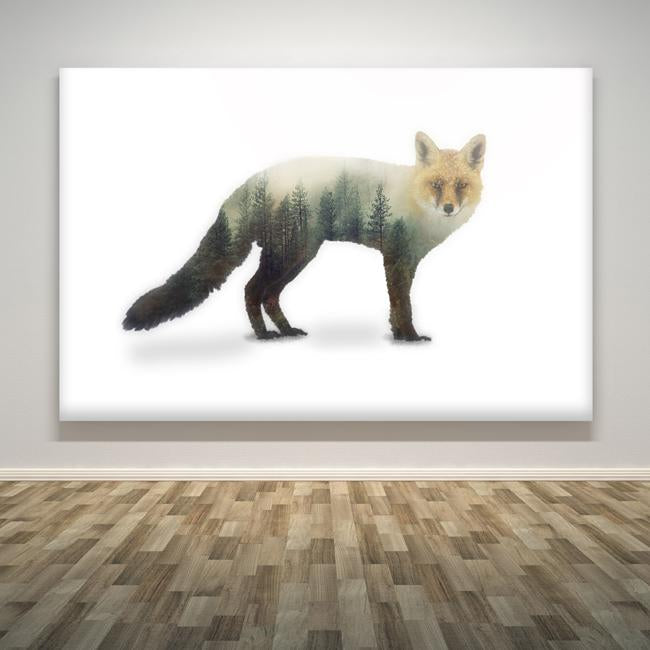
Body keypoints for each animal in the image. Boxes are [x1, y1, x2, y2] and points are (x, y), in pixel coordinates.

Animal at [123, 131, 486, 341]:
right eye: (436, 184)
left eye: (461, 185)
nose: (449, 208)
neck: (414, 200)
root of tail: (256, 180)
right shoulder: (396, 259)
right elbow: (403, 304)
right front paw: (408, 336)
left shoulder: (404, 262)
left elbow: (396, 306)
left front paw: (397, 334)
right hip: (289, 254)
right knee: (251, 289)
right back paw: (264, 336)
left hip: (298, 256)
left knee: (268, 295)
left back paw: (285, 330)